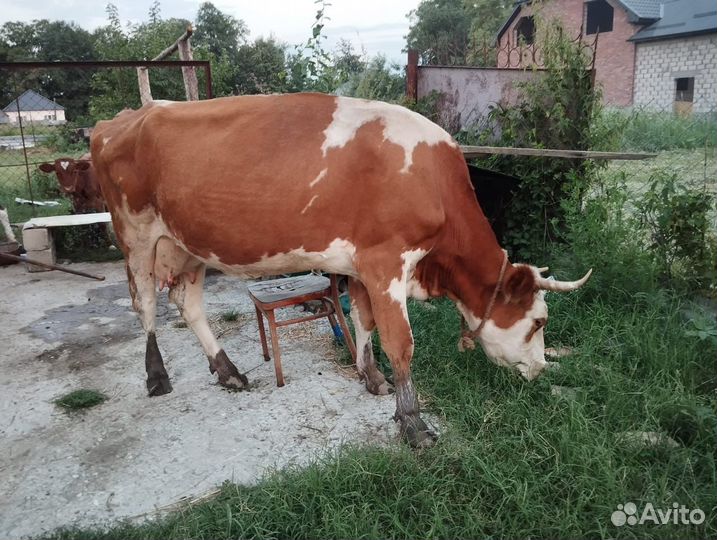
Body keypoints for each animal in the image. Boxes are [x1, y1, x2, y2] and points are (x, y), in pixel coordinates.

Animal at [90, 94, 591, 447]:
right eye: (539, 321)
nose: (540, 368)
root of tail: (123, 117)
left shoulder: (362, 266)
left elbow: (362, 320)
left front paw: (372, 378)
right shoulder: (386, 261)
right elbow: (401, 343)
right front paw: (413, 423)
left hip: (186, 243)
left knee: (187, 303)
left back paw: (228, 371)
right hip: (136, 235)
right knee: (145, 304)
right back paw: (157, 377)